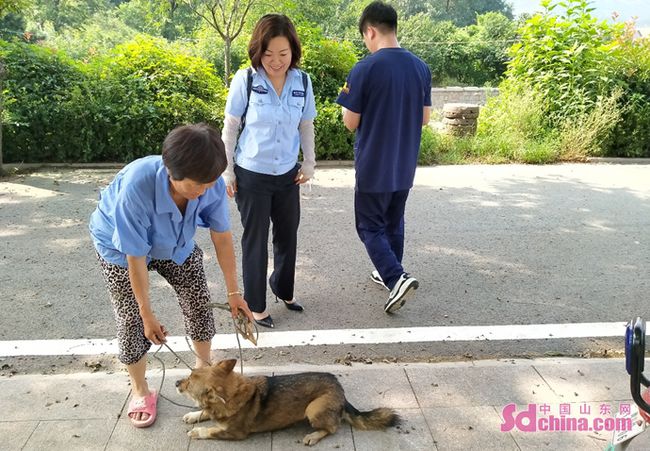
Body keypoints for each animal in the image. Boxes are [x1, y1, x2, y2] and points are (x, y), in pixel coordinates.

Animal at [177, 360, 400, 444]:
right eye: (190, 374)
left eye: (190, 382)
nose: (177, 382)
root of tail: (341, 392)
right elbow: (205, 411)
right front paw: (194, 415)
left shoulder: (235, 433)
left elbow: (211, 430)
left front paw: (197, 432)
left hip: (313, 409)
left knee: (333, 428)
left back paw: (314, 436)